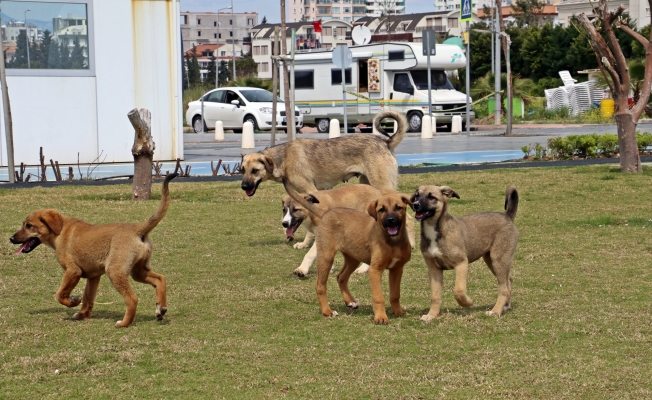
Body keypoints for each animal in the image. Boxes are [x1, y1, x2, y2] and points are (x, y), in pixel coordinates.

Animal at [10, 174, 178, 328]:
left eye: (29, 225)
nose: (11, 239)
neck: (60, 230)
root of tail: (136, 229)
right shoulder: (93, 276)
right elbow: (88, 297)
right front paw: (82, 314)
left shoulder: (73, 271)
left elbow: (60, 294)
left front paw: (73, 301)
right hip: (138, 271)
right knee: (160, 279)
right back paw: (161, 309)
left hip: (115, 271)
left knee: (132, 298)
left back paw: (124, 323)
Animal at [282, 180, 410, 324]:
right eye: (381, 210)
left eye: (399, 207)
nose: (390, 220)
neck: (393, 242)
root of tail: (326, 212)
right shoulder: (375, 270)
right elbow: (378, 297)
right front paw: (381, 317)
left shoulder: (397, 269)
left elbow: (395, 294)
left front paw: (398, 312)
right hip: (326, 257)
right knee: (320, 285)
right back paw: (327, 311)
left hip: (353, 258)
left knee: (341, 277)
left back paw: (350, 301)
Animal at [412, 185, 520, 322]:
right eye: (416, 195)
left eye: (432, 197)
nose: (415, 205)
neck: (436, 230)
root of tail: (507, 216)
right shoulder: (434, 269)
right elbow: (435, 296)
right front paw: (431, 315)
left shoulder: (461, 263)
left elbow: (458, 290)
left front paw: (468, 303)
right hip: (491, 260)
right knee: (508, 281)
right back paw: (505, 306)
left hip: (499, 260)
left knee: (504, 288)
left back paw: (495, 311)